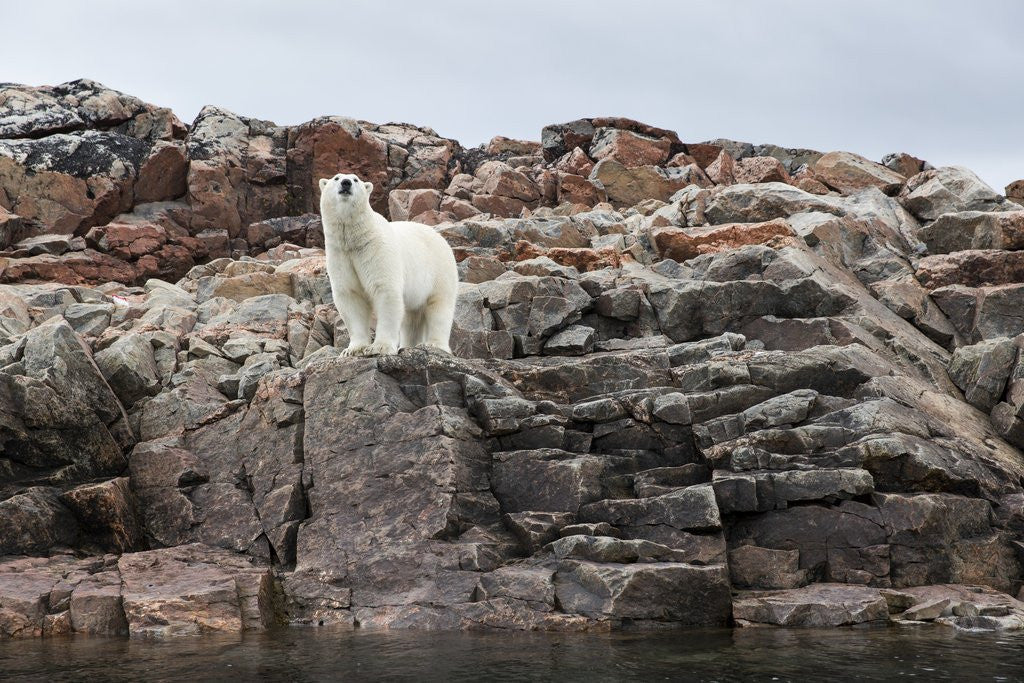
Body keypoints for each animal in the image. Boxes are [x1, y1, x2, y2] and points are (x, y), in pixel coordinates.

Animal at [319, 173, 459, 357]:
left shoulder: (376, 250)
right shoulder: (340, 254)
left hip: (439, 271)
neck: (354, 239)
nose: (346, 183)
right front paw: (353, 350)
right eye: (336, 178)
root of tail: (441, 237)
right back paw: (407, 345)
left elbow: (385, 291)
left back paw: (434, 344)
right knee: (412, 317)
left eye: (356, 179)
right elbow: (350, 296)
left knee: (439, 307)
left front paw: (379, 347)